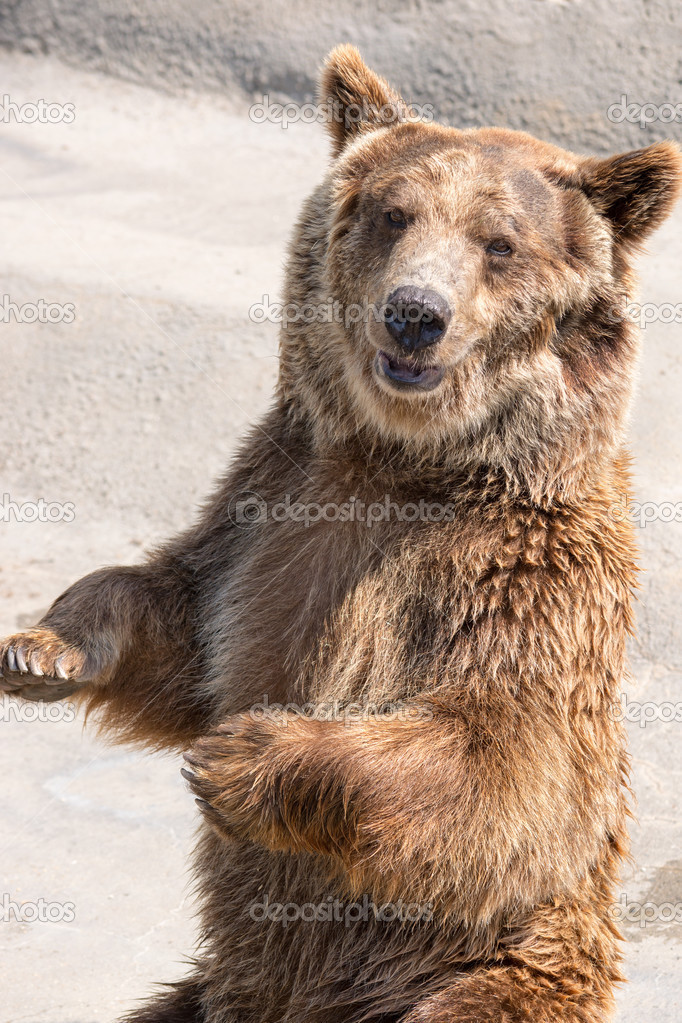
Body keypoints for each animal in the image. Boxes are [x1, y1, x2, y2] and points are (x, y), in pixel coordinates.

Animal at [1, 46, 682, 1023]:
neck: (400, 464)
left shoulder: (524, 575)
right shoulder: (270, 510)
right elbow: (185, 625)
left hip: (492, 966)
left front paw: (235, 754)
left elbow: (502, 762)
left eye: (500, 242)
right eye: (393, 213)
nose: (415, 313)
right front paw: (45, 645)